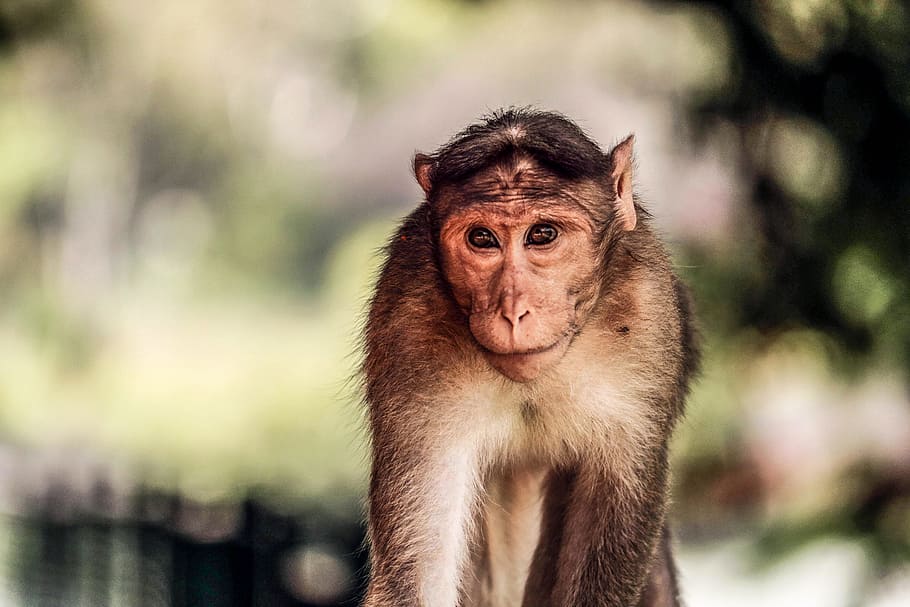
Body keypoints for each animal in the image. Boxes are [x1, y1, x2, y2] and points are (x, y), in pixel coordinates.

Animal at [362, 108, 698, 607]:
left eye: (542, 234)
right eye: (482, 239)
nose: (513, 309)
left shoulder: (647, 314)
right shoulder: (409, 324)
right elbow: (416, 570)